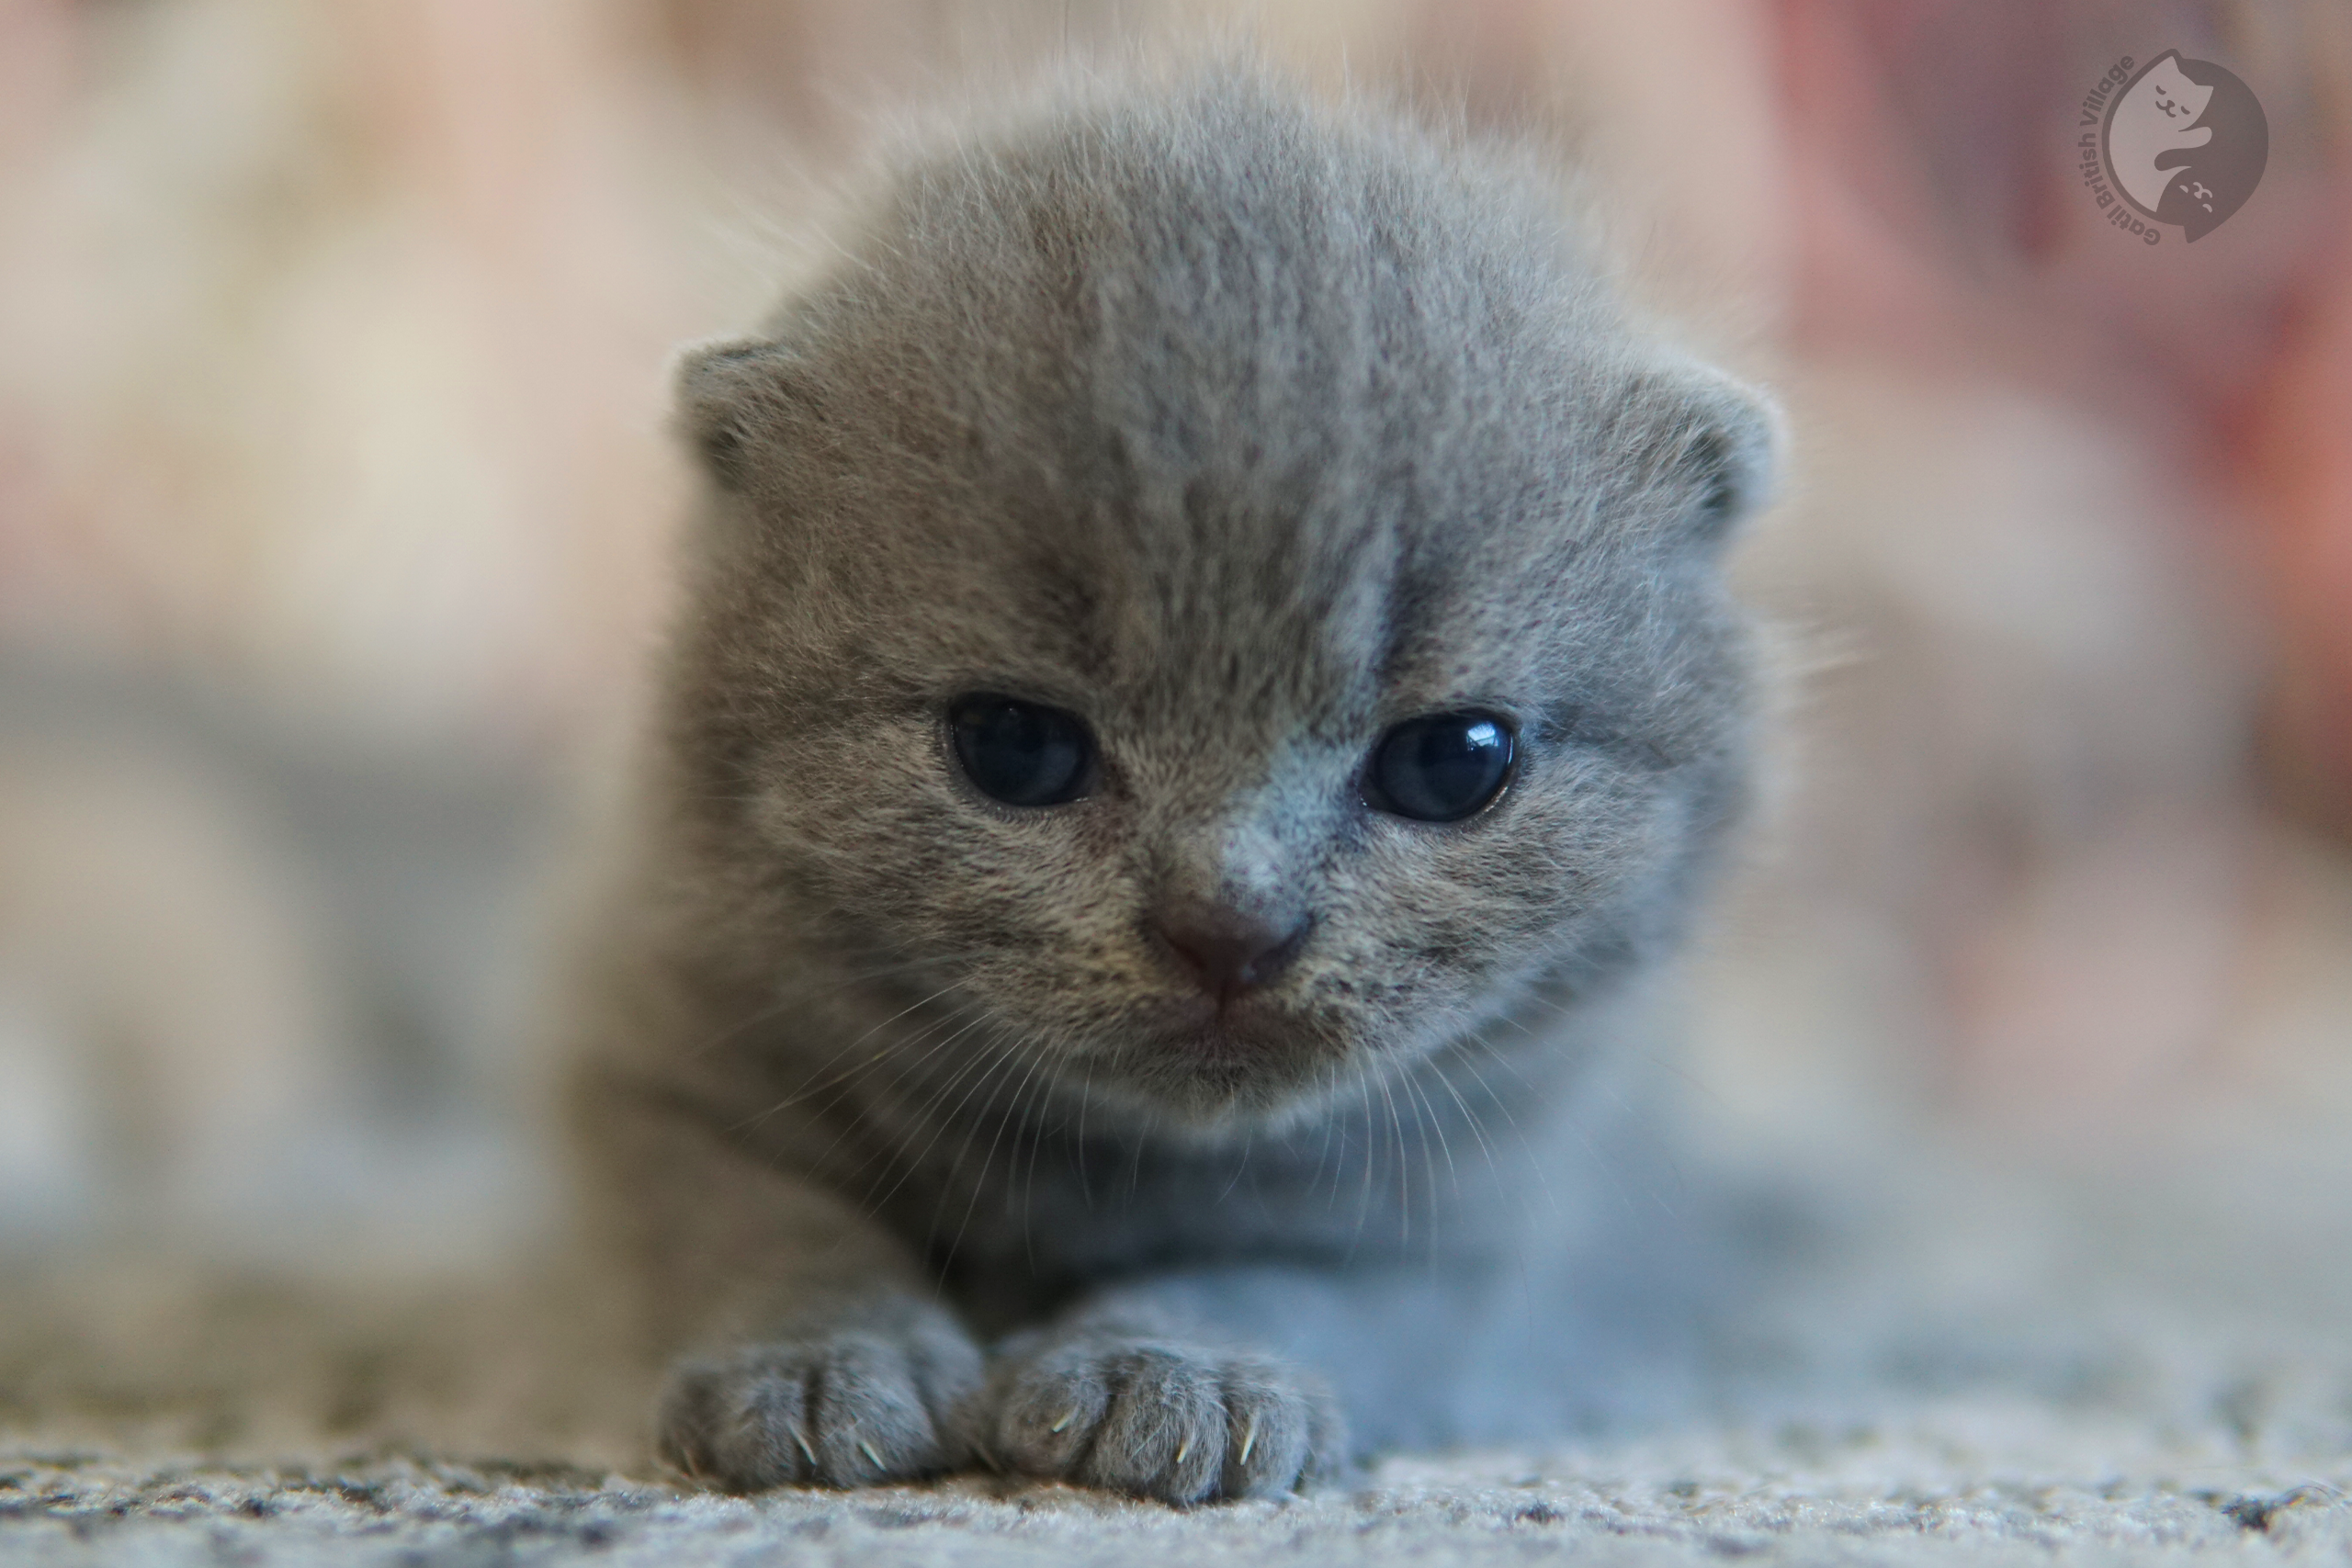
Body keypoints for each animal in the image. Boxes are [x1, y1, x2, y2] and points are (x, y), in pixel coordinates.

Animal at [569, 64, 1769, 1504]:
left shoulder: (1469, 1212)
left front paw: (1174, 1371)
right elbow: (753, 1218)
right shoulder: (647, 1052)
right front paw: (814, 1360)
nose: (1231, 926)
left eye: (1451, 762)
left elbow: (1270, 1276)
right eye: (1013, 746)